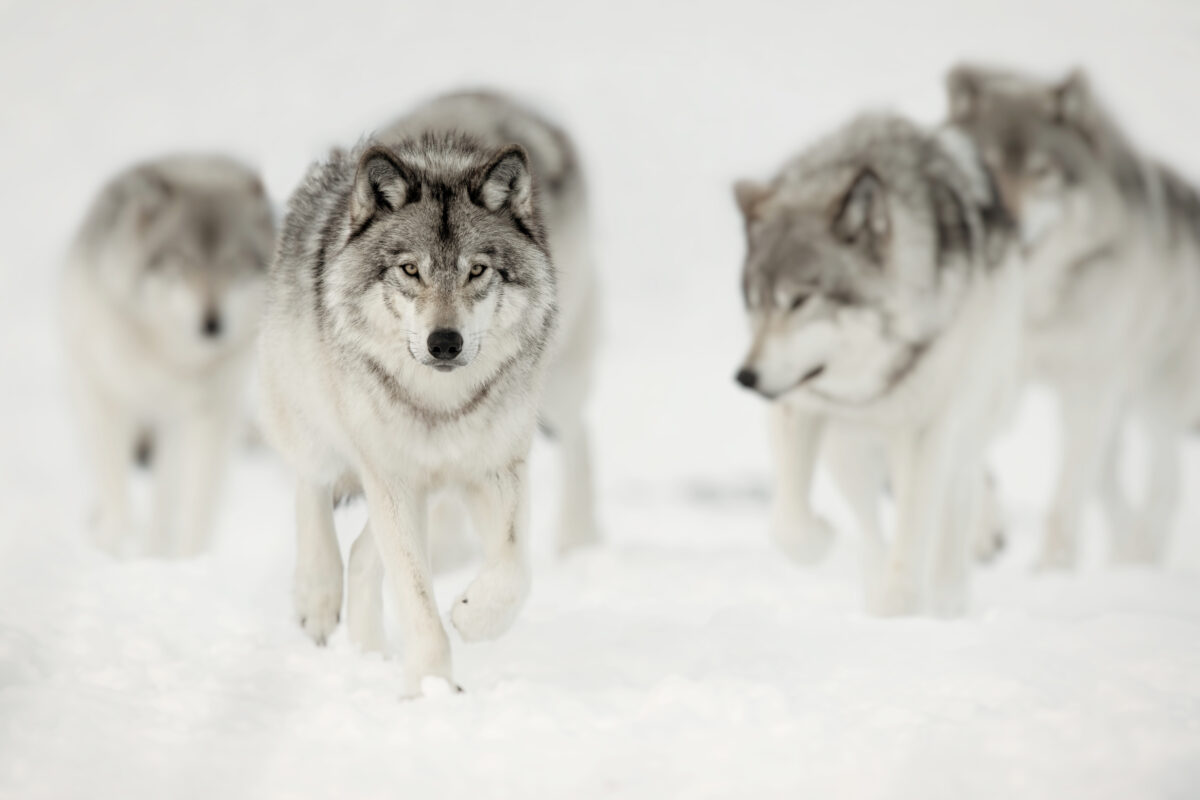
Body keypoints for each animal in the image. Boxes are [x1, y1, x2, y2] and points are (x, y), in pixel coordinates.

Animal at [60, 154, 274, 556]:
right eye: (183, 261)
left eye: (233, 263)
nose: (212, 325)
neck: (167, 353)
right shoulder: (107, 398)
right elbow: (115, 486)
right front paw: (113, 548)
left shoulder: (194, 416)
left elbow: (184, 501)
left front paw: (178, 557)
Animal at [729, 115, 1022, 618]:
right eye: (755, 302)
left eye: (799, 300)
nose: (746, 377)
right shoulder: (801, 404)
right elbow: (788, 524)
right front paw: (822, 539)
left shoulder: (924, 429)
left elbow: (917, 526)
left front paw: (902, 609)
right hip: (848, 449)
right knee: (870, 525)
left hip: (965, 423)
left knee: (956, 501)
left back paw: (947, 597)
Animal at [945, 67, 1200, 568]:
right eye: (985, 165)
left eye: (1041, 172)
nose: (1007, 220)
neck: (1029, 306)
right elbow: (975, 464)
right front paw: (984, 532)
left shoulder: (1085, 390)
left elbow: (1063, 504)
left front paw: (1051, 574)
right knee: (1114, 494)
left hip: (1153, 402)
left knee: (1164, 488)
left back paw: (1138, 563)